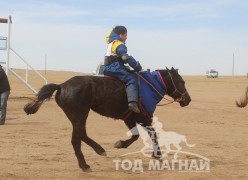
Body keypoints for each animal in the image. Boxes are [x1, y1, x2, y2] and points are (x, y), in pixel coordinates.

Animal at [24, 67, 191, 171]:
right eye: (181, 82)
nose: (188, 100)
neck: (148, 86)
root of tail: (61, 86)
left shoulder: (129, 118)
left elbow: (139, 135)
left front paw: (154, 154)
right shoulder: (142, 117)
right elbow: (151, 134)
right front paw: (156, 154)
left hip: (78, 117)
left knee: (81, 135)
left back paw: (100, 150)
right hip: (80, 115)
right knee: (76, 140)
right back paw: (85, 165)